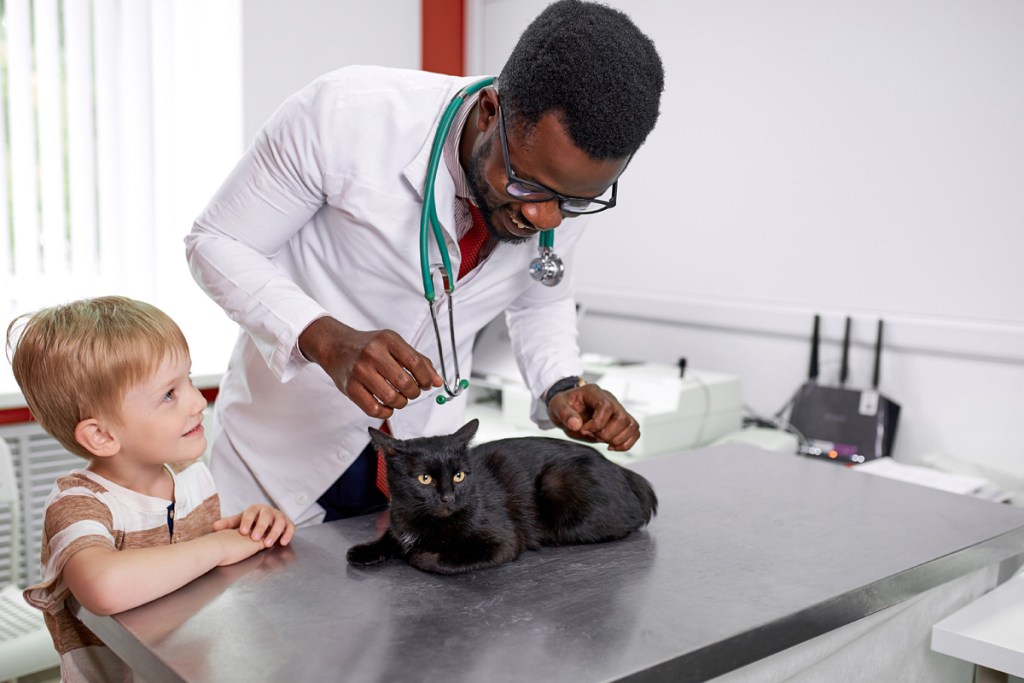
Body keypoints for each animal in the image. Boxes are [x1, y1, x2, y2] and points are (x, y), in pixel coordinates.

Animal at [348, 419, 659, 573]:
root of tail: (623, 471)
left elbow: (450, 560)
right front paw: (365, 551)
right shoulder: (399, 519)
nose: (448, 498)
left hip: (558, 484)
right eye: (425, 478)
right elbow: (390, 537)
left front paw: (420, 556)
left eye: (459, 476)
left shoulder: (504, 542)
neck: (421, 521)